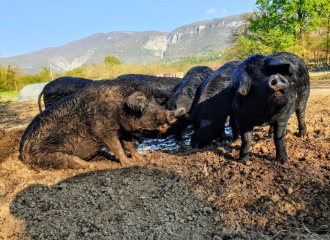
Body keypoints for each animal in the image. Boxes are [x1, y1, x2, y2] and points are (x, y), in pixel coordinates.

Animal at [20, 79, 186, 169]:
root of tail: (22, 151)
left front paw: (141, 159)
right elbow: (117, 146)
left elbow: (129, 144)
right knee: (71, 160)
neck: (118, 106)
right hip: (46, 155)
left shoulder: (123, 130)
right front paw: (129, 163)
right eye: (145, 105)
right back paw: (95, 166)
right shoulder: (103, 131)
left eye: (154, 101)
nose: (174, 113)